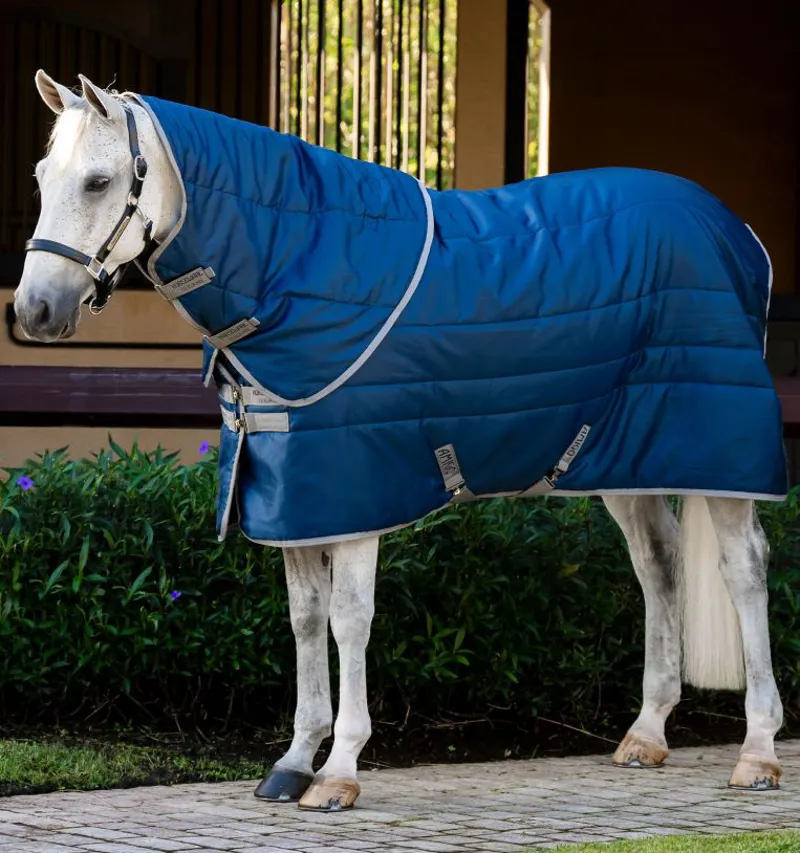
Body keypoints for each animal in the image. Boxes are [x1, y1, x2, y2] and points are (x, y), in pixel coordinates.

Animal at [14, 70, 786, 811]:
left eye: (99, 181)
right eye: (42, 177)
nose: (34, 310)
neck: (294, 266)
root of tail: (739, 232)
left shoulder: (354, 494)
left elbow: (349, 621)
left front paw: (339, 772)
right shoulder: (295, 495)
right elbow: (305, 619)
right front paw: (293, 761)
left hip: (718, 455)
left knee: (744, 570)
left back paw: (757, 754)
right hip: (624, 457)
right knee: (658, 565)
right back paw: (646, 734)